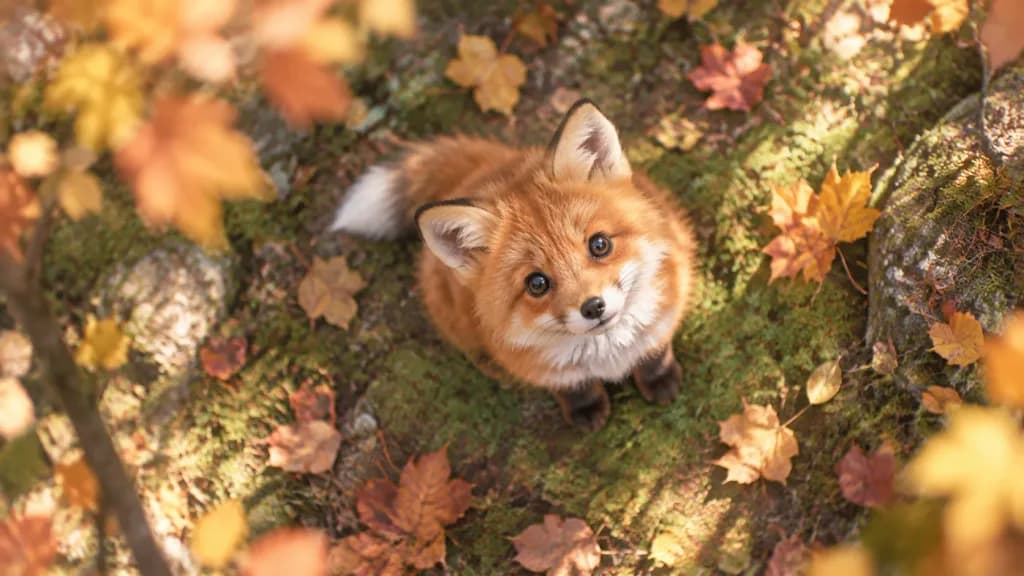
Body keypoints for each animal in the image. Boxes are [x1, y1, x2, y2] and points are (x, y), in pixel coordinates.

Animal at [330, 99, 697, 430]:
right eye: (537, 283)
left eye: (599, 244)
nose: (593, 307)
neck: (608, 355)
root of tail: (480, 172)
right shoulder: (542, 369)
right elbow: (574, 388)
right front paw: (585, 408)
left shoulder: (667, 309)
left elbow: (654, 354)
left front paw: (659, 379)